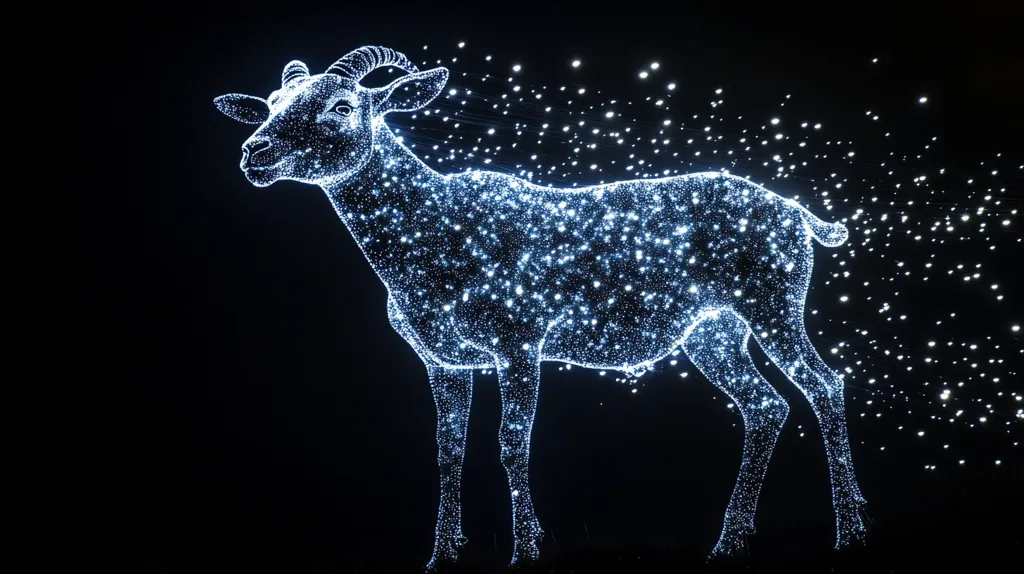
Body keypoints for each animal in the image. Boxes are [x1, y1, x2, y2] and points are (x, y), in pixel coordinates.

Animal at [214, 46, 867, 568]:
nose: (254, 152)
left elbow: (511, 441)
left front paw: (526, 550)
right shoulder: (442, 362)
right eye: (270, 103)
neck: (438, 235)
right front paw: (440, 556)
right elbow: (447, 450)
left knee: (824, 384)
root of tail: (800, 213)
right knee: (765, 405)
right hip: (713, 333)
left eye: (343, 105)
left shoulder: (519, 342)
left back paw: (851, 532)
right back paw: (729, 542)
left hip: (774, 307)